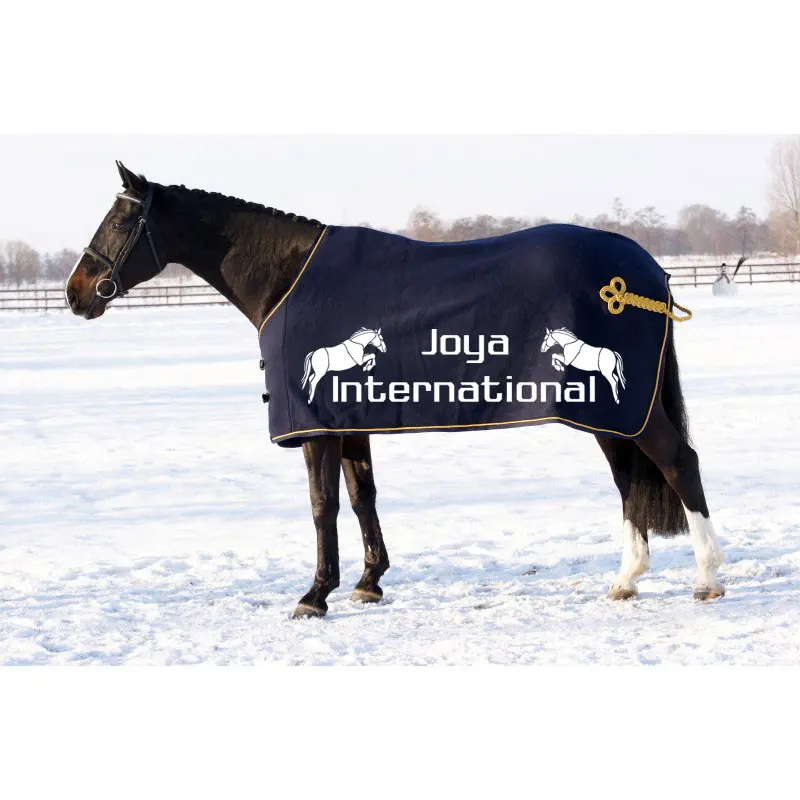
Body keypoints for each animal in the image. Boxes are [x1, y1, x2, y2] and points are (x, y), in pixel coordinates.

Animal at [65, 162, 725, 618]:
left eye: (121, 221)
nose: (76, 292)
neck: (289, 278)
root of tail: (647, 271)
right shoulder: (350, 422)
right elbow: (362, 498)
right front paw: (367, 583)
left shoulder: (317, 426)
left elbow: (322, 505)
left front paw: (315, 595)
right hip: (606, 413)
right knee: (630, 478)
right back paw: (626, 580)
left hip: (627, 410)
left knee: (677, 463)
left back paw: (707, 579)